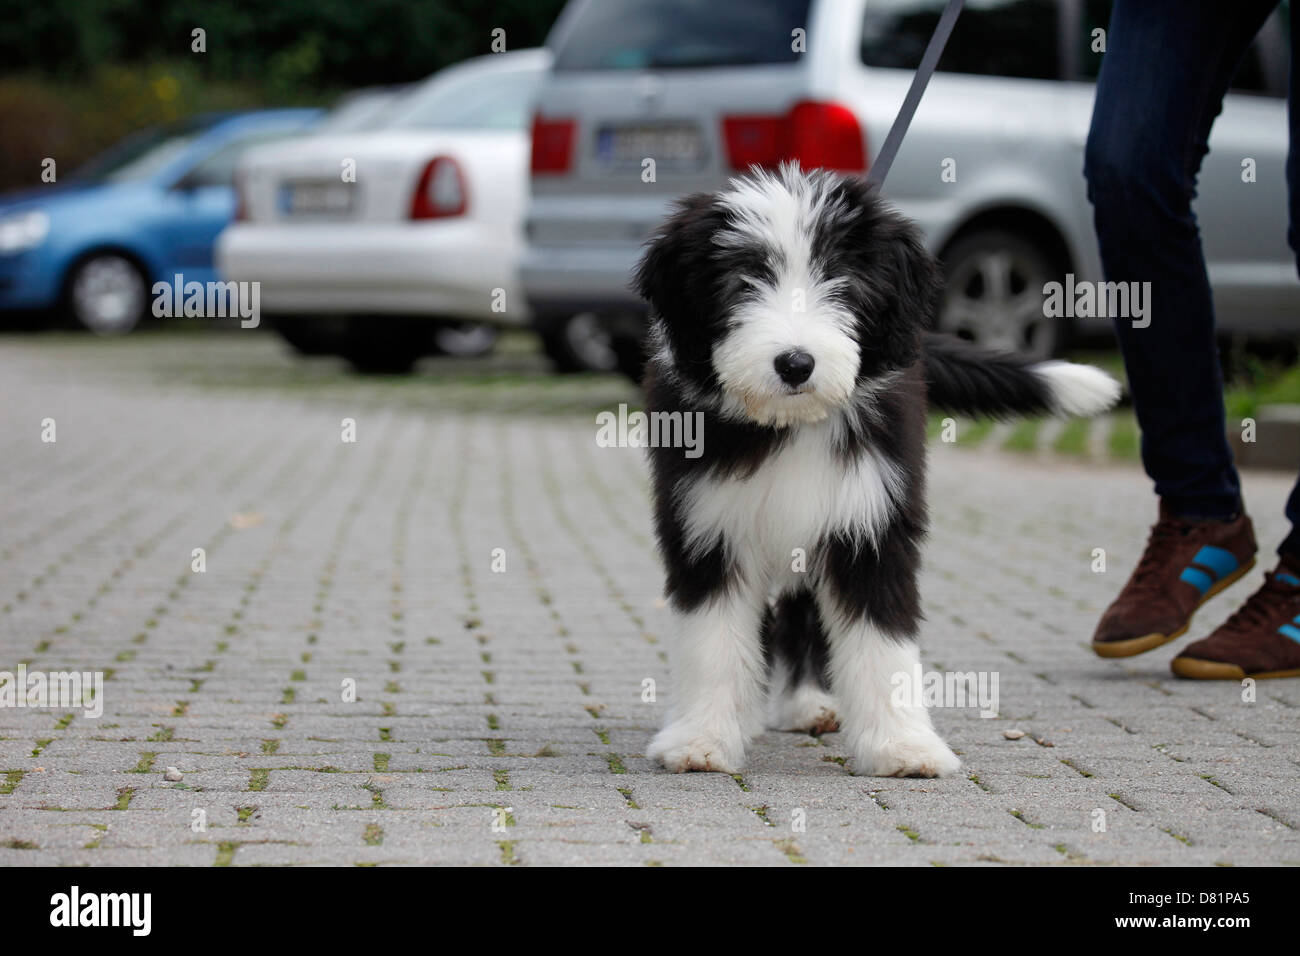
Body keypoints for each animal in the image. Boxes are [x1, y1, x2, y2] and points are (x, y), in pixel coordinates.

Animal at [631, 164, 1118, 780]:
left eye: (841, 282)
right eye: (742, 283)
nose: (795, 363)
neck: (791, 425)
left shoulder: (869, 518)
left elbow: (881, 642)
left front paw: (902, 746)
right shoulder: (706, 522)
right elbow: (712, 641)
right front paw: (701, 738)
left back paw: (809, 702)